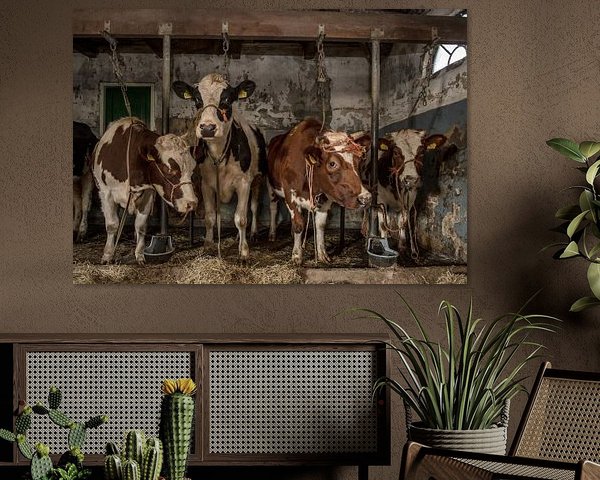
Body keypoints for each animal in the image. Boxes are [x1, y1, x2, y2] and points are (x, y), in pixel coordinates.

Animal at [92, 118, 197, 264]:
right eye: (169, 170)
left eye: (193, 168)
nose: (192, 203)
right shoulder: (106, 192)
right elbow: (112, 225)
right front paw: (107, 255)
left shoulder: (148, 193)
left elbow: (140, 226)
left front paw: (140, 254)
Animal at [173, 73, 268, 260]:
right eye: (197, 99)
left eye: (227, 99)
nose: (208, 128)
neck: (219, 153)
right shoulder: (207, 184)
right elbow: (210, 217)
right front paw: (208, 245)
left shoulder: (244, 183)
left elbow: (241, 218)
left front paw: (243, 251)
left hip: (258, 179)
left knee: (253, 207)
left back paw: (252, 234)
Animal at [268, 117, 370, 264]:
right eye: (332, 163)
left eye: (360, 160)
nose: (366, 197)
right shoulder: (290, 196)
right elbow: (298, 224)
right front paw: (297, 256)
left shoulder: (325, 198)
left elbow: (320, 225)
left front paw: (322, 254)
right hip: (271, 186)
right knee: (273, 207)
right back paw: (272, 234)